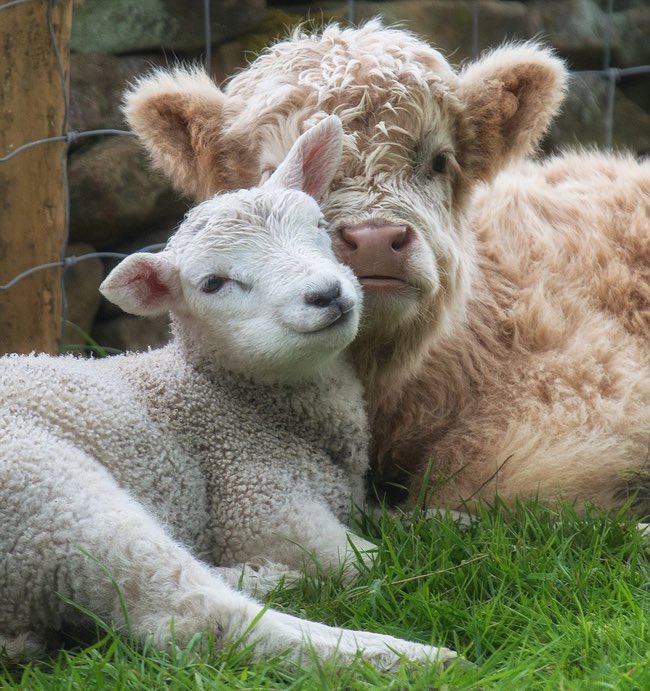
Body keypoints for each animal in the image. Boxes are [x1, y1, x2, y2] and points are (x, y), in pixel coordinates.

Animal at [0, 115, 457, 669]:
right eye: (214, 283)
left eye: (318, 226)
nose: (327, 295)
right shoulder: (256, 503)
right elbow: (370, 559)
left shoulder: (341, 497)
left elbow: (410, 522)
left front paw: (460, 519)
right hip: (47, 496)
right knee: (195, 616)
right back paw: (403, 656)